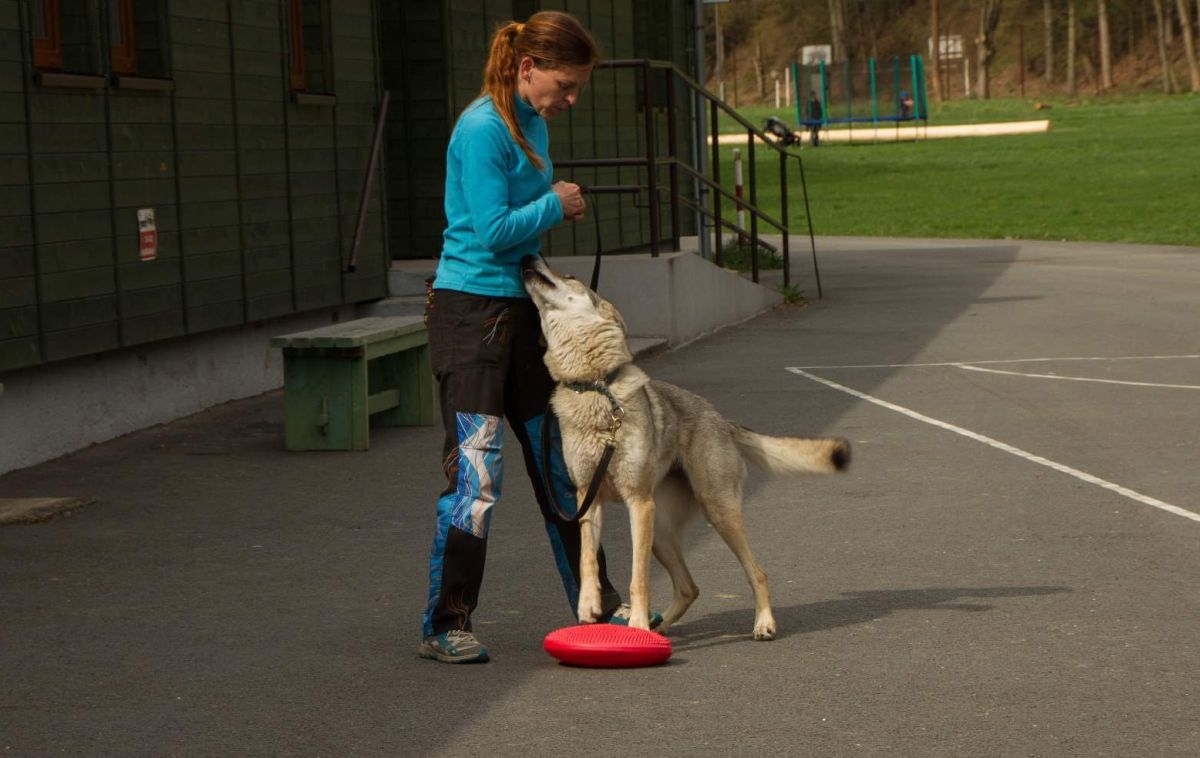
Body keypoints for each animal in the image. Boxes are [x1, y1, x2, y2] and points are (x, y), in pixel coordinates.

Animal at [520, 256, 849, 638]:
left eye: (570, 275)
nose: (527, 259)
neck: (594, 386)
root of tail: (722, 419)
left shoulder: (637, 502)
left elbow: (638, 578)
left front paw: (635, 624)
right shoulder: (587, 498)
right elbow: (588, 559)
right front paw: (589, 608)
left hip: (714, 514)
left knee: (757, 573)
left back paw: (762, 623)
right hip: (661, 532)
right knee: (690, 587)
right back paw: (658, 627)